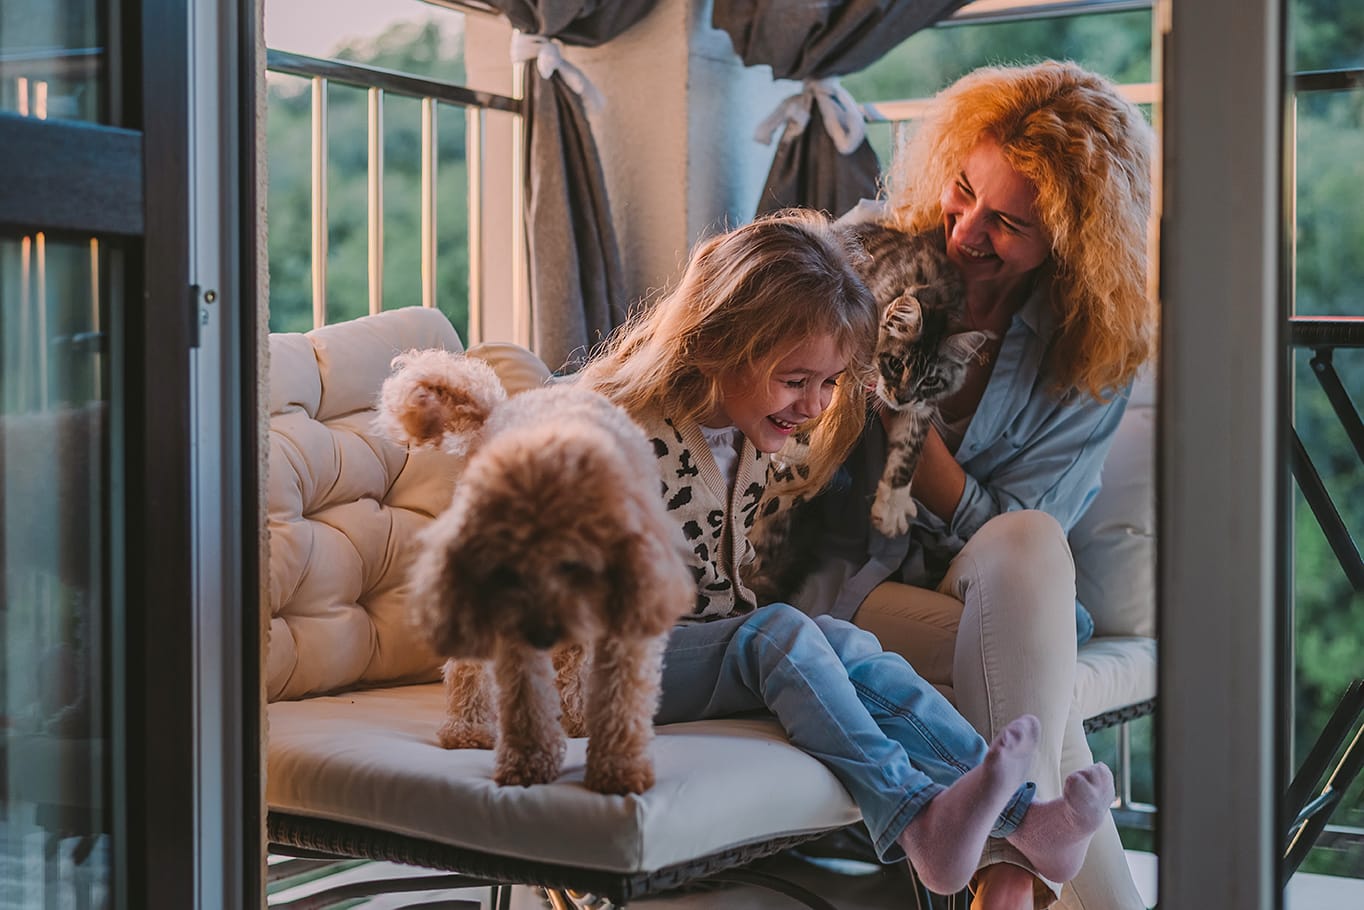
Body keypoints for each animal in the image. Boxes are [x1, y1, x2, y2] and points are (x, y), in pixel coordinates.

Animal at [373, 351, 692, 791]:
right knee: (470, 668)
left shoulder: (630, 612)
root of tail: (498, 409)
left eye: (574, 565)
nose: (540, 632)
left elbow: (621, 697)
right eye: (507, 572)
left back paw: (576, 717)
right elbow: (525, 698)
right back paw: (467, 728)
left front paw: (618, 769)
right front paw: (528, 763)